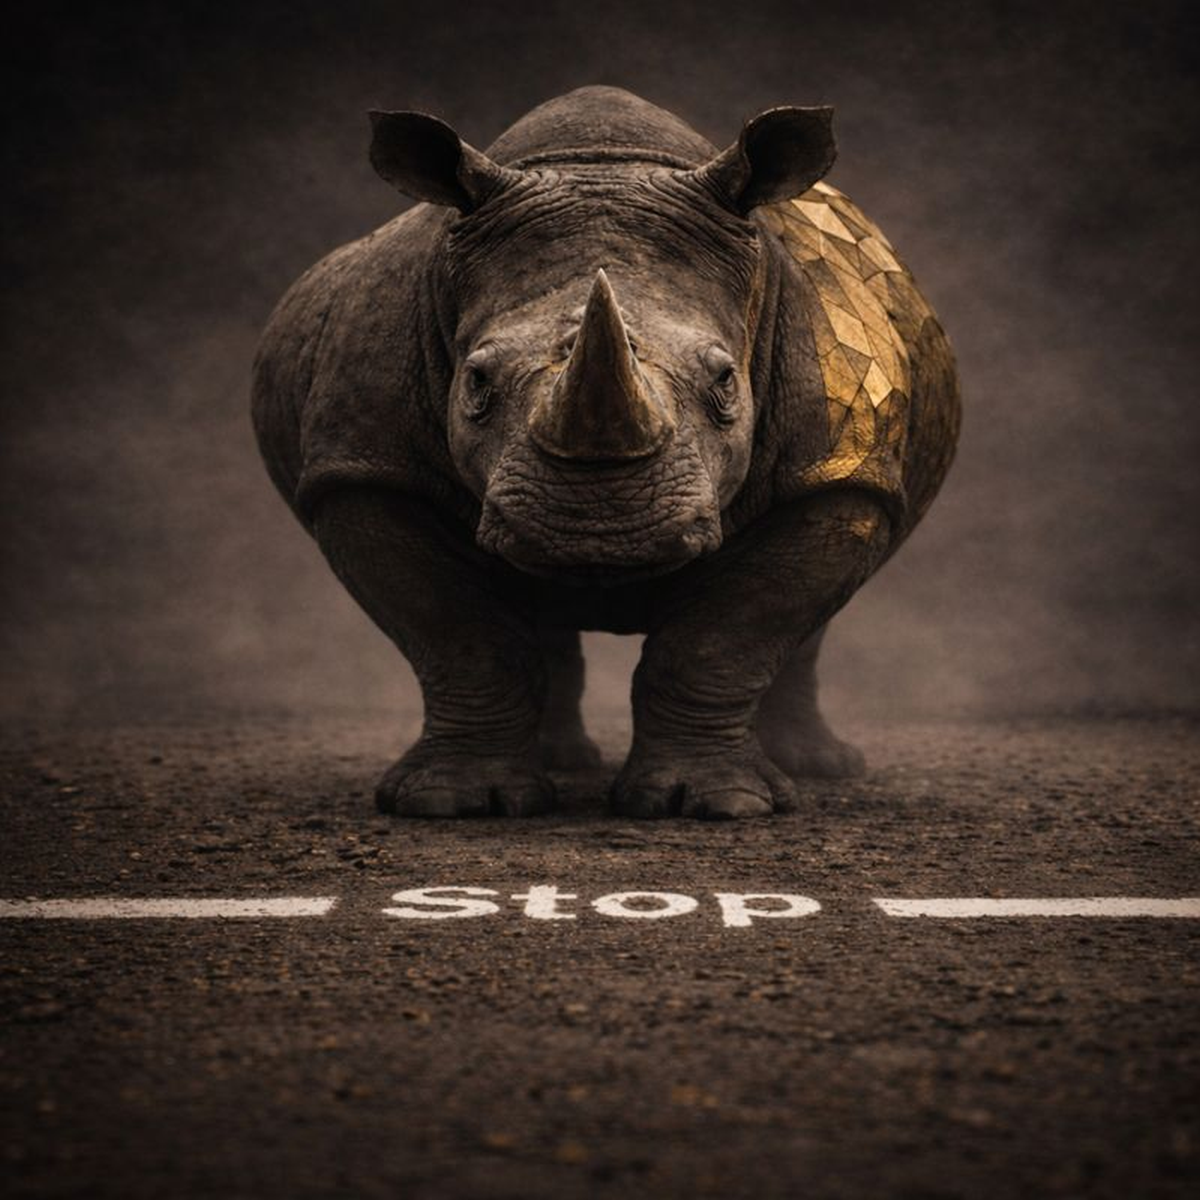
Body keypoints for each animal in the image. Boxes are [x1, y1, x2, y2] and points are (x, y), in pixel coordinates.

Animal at [252, 86, 960, 819]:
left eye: (725, 381)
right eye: (475, 381)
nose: (597, 526)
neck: (603, 162)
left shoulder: (835, 469)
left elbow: (723, 641)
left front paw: (712, 804)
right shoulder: (364, 466)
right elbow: (463, 637)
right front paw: (456, 802)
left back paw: (821, 769)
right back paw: (563, 763)